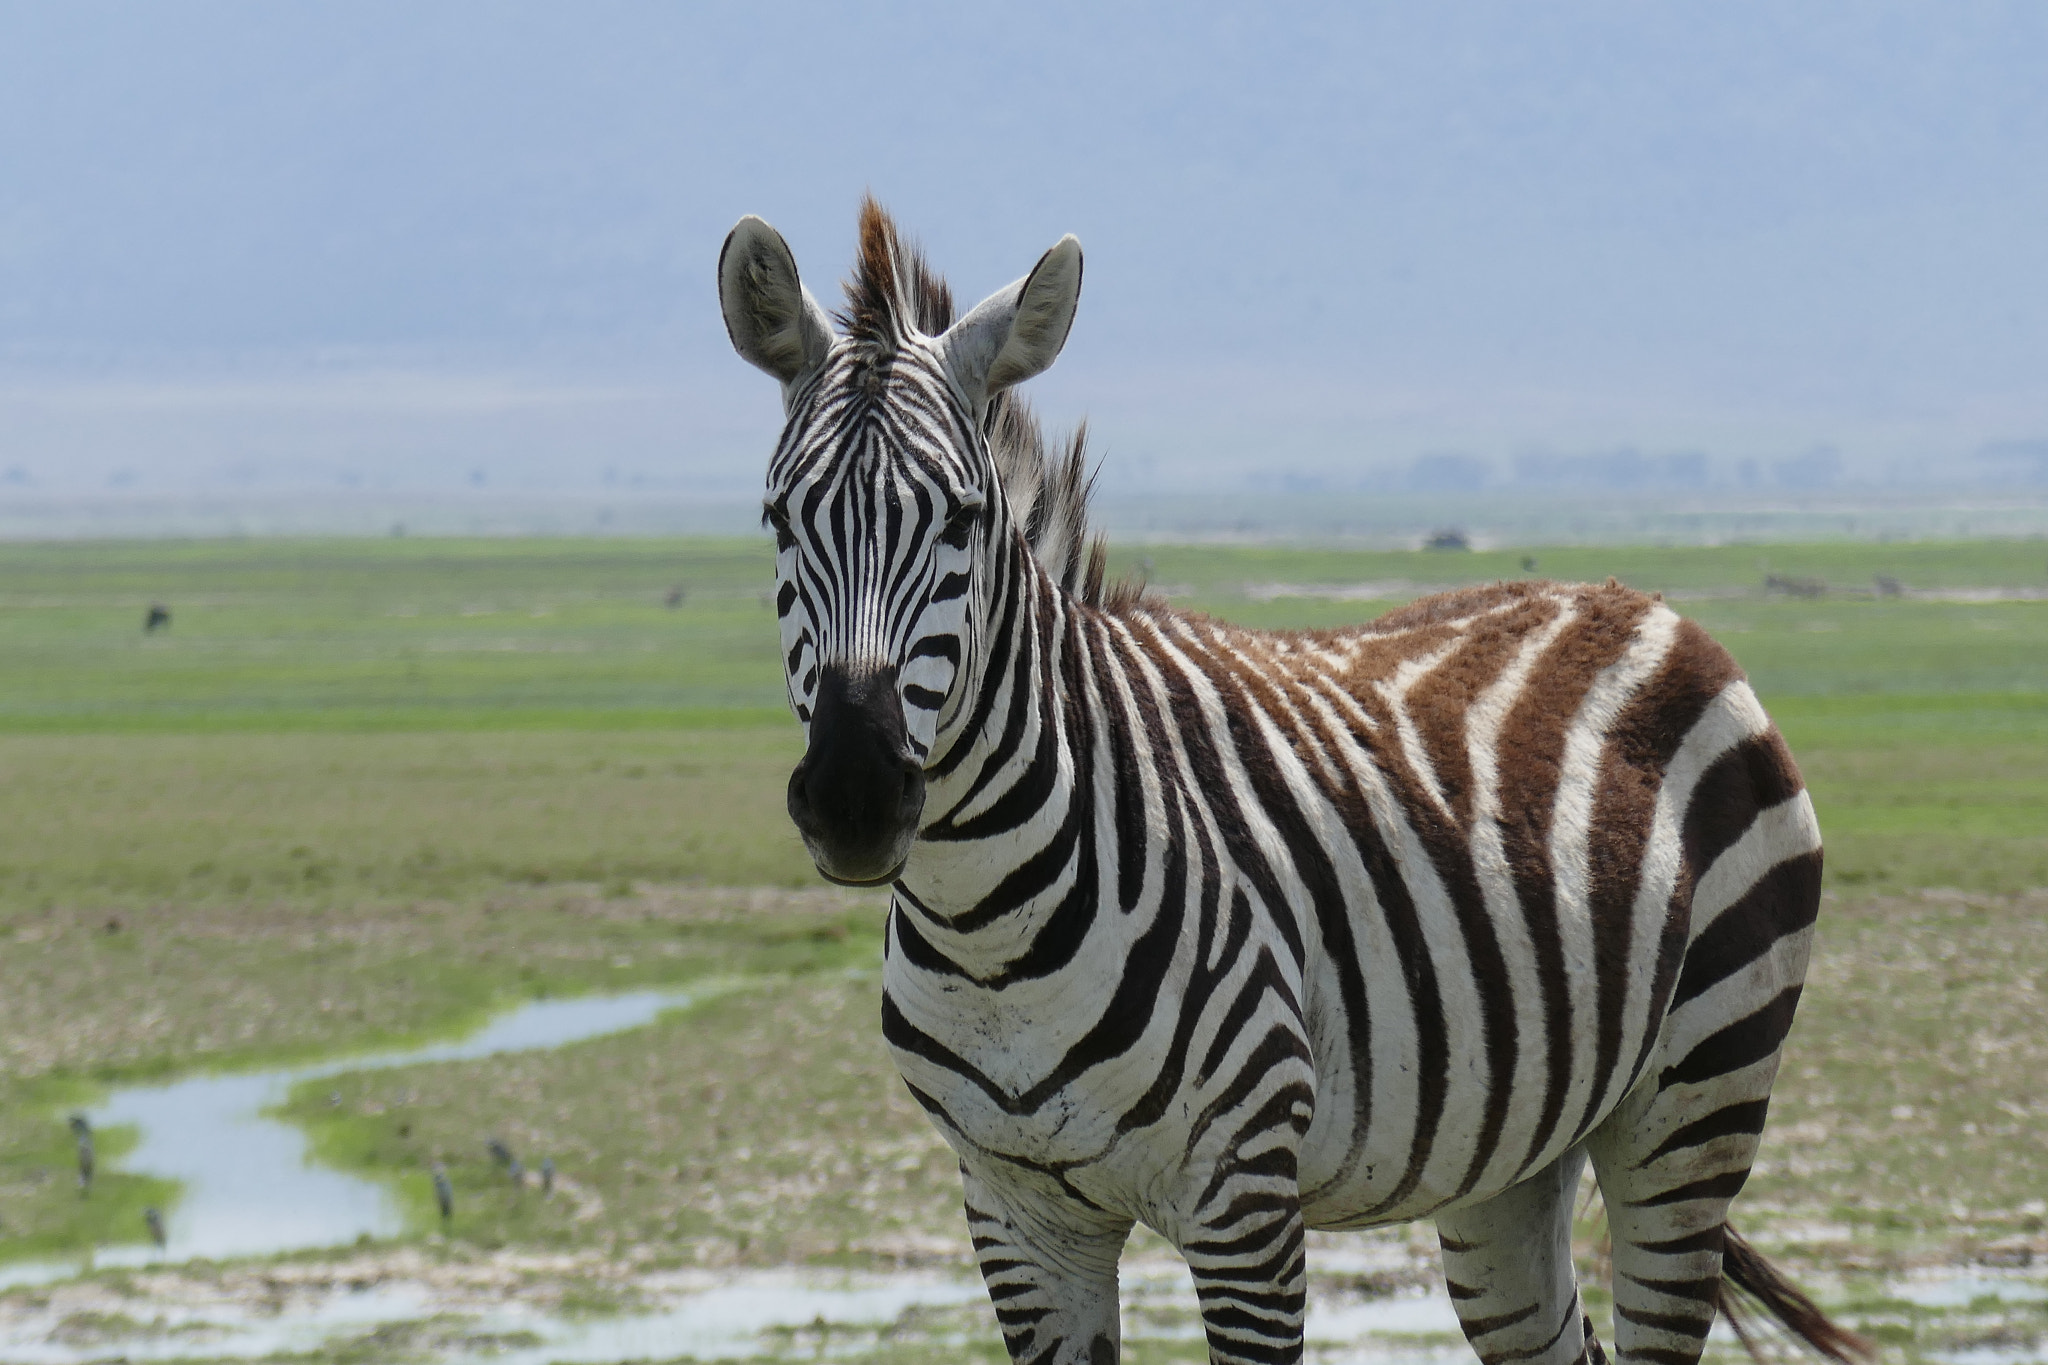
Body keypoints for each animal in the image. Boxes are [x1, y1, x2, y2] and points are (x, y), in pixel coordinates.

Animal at [718, 199, 1866, 1365]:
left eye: (960, 519)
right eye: (777, 519)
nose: (854, 798)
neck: (990, 929)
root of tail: (1643, 604)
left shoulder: (1243, 1199)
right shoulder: (1016, 1214)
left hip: (1698, 1091)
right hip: (1516, 1151)